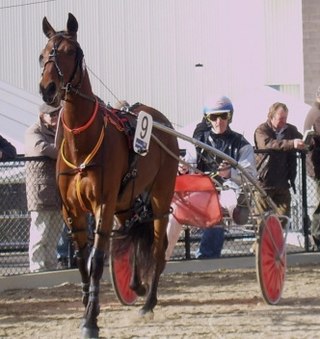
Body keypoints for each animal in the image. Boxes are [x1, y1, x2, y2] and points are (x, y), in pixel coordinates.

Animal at [38, 12, 179, 338]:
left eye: (70, 52)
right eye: (42, 54)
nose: (47, 89)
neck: (82, 142)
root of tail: (161, 121)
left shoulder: (103, 205)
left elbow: (98, 260)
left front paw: (91, 319)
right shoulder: (71, 211)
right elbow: (82, 261)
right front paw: (87, 305)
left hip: (160, 195)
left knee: (158, 247)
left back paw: (149, 302)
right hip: (126, 202)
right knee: (133, 236)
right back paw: (136, 286)